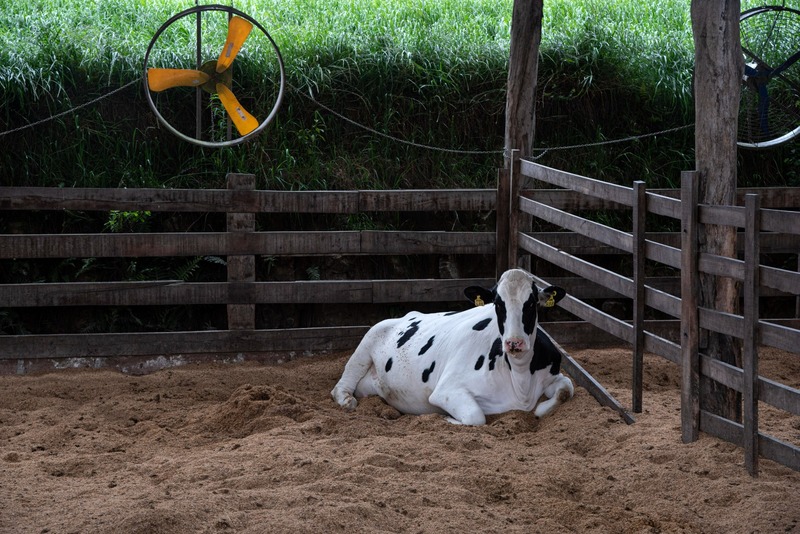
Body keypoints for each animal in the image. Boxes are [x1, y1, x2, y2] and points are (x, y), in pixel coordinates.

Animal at [332, 268, 576, 428]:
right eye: (498, 303)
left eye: (532, 302)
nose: (514, 342)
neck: (520, 377)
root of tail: (407, 314)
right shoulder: (447, 390)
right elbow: (476, 417)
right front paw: (445, 418)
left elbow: (567, 388)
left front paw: (541, 410)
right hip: (368, 341)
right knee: (341, 384)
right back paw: (346, 400)